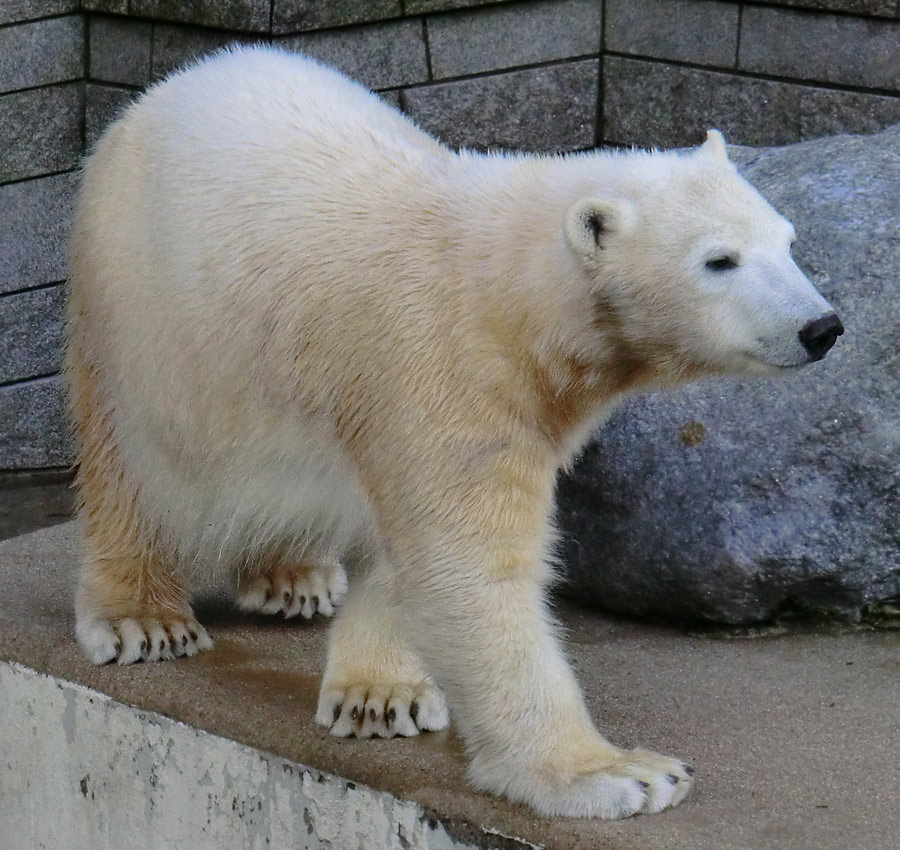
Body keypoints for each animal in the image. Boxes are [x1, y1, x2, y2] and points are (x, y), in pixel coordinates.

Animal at [65, 44, 844, 816]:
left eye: (787, 240)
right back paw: (144, 617)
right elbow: (471, 566)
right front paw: (621, 773)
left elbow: (412, 555)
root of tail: (180, 80)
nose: (822, 326)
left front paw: (384, 694)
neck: (502, 289)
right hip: (136, 306)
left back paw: (295, 575)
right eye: (719, 259)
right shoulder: (446, 370)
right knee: (127, 458)